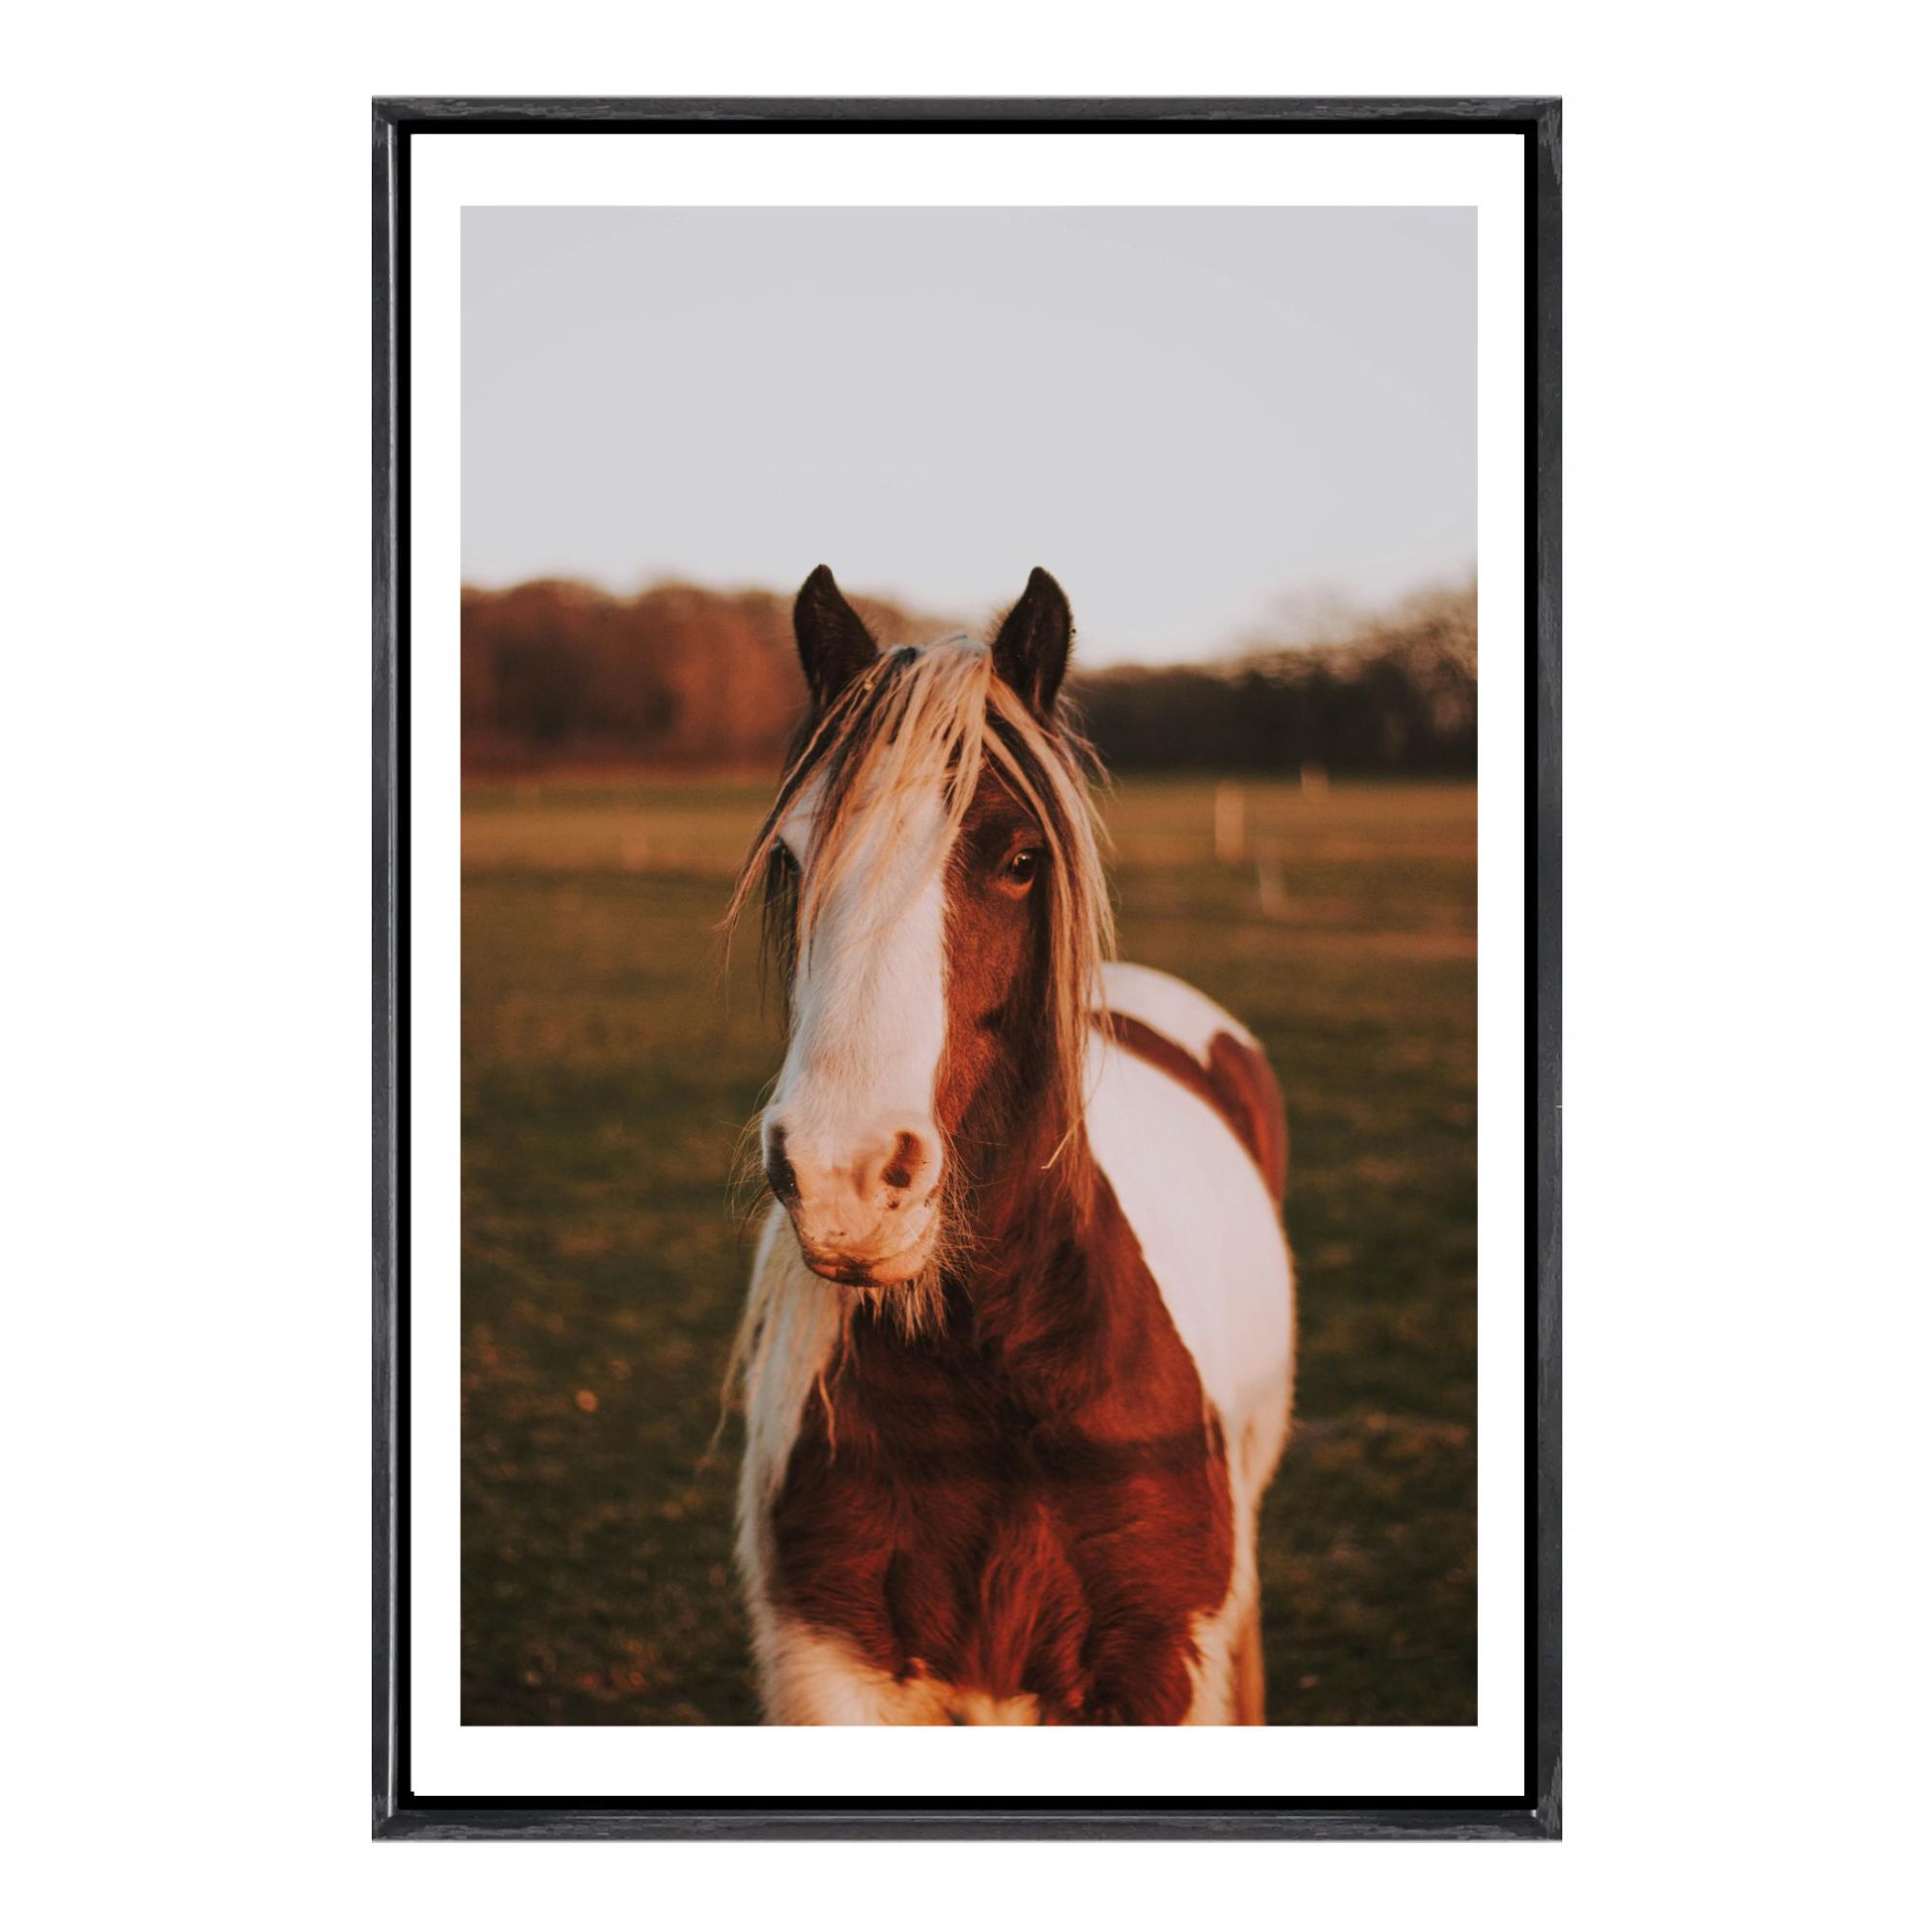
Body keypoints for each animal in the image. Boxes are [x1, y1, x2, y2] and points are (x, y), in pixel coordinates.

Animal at [727, 565, 1294, 1725]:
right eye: (792, 861)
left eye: (1022, 857)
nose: (844, 1176)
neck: (993, 1376)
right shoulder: (830, 1665)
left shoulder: (1159, 1669)